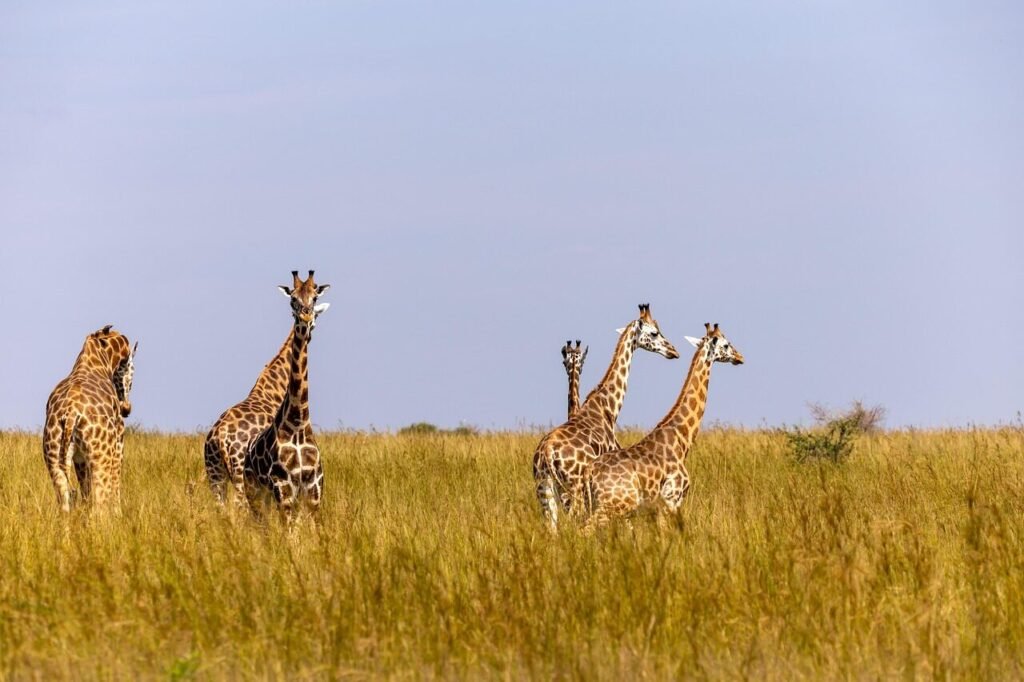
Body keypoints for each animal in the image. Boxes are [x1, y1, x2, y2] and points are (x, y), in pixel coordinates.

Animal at [42, 325, 137, 512]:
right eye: (131, 369)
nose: (126, 409)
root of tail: (71, 413)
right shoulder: (119, 443)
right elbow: (115, 486)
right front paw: (118, 513)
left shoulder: (79, 458)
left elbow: (85, 492)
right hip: (101, 458)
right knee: (99, 505)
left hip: (53, 459)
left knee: (65, 503)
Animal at [244, 270, 330, 524]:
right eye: (293, 299)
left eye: (314, 296)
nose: (305, 316)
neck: (298, 423)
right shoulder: (283, 489)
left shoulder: (313, 491)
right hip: (255, 493)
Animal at [533, 304, 680, 531]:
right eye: (654, 332)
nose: (673, 351)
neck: (608, 407)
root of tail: (548, 453)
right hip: (573, 489)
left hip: (544, 491)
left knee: (552, 529)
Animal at [582, 323, 744, 530]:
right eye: (725, 344)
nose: (740, 357)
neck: (682, 437)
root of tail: (589, 473)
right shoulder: (672, 500)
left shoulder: (656, 509)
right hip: (615, 505)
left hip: (597, 504)